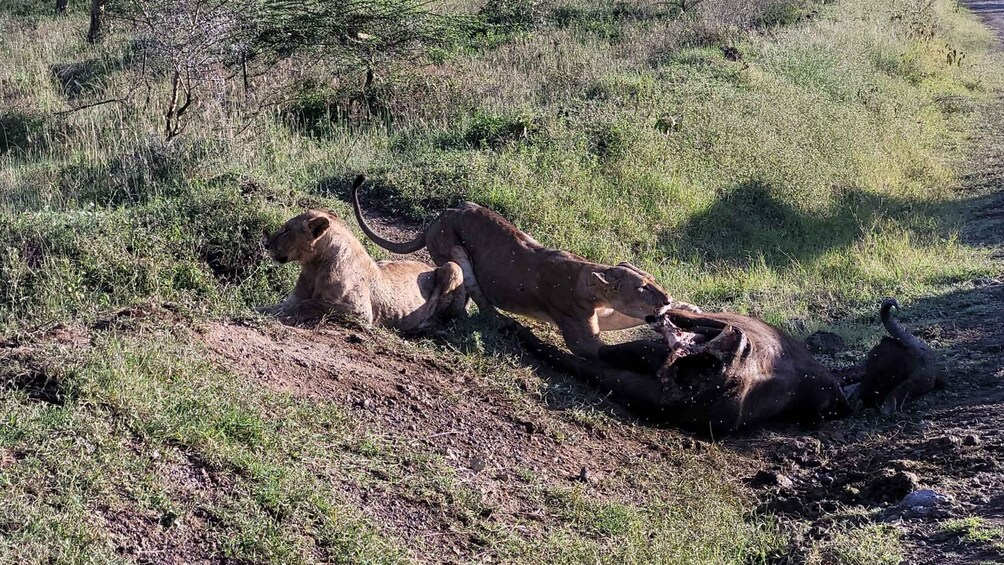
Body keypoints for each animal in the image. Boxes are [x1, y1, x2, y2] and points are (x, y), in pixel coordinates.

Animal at [257, 207, 463, 331]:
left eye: (286, 229)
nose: (266, 244)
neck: (314, 266)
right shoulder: (295, 295)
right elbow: (279, 305)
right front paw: (259, 309)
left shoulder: (360, 312)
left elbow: (308, 304)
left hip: (453, 267)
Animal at [349, 174, 694, 355]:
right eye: (642, 287)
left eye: (652, 278)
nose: (665, 297)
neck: (591, 275)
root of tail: (437, 217)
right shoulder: (582, 337)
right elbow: (602, 349)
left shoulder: (608, 315)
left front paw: (685, 310)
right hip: (455, 251)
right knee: (478, 299)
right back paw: (505, 322)